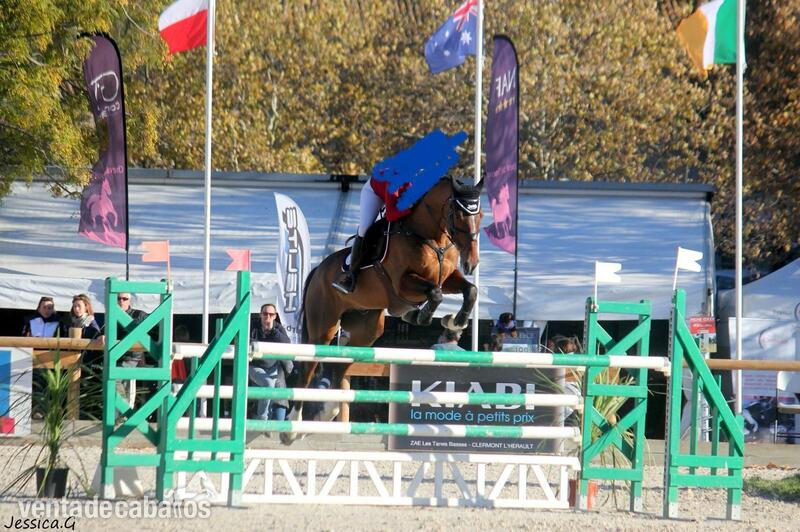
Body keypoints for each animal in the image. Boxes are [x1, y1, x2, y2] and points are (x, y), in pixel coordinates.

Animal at [281, 176, 483, 444]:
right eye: (456, 213)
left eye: (480, 215)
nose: (472, 262)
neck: (431, 238)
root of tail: (318, 270)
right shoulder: (402, 283)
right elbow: (435, 293)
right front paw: (421, 314)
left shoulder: (448, 277)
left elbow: (470, 290)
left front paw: (455, 321)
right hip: (323, 328)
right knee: (308, 368)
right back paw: (292, 428)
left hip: (366, 332)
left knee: (339, 367)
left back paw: (325, 414)